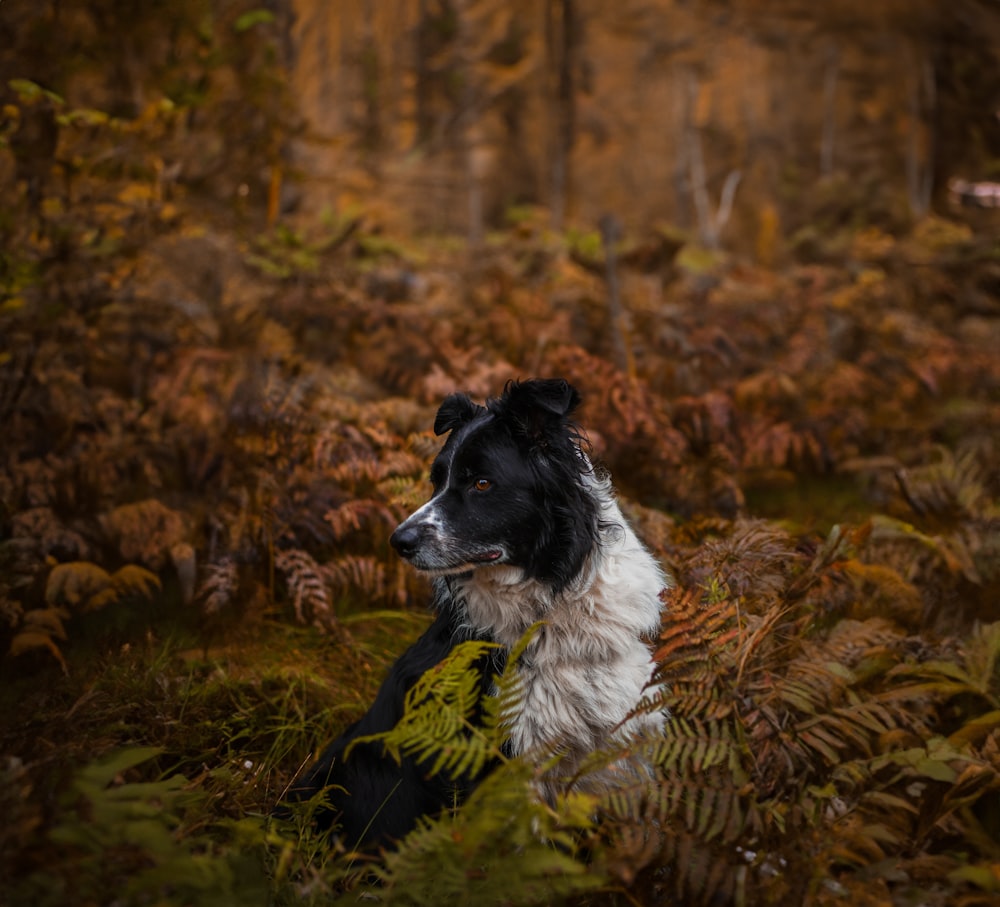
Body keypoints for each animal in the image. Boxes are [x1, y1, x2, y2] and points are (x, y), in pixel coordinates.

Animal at [282, 382, 668, 852]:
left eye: (481, 483)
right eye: (436, 480)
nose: (398, 541)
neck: (550, 605)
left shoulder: (625, 742)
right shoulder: (509, 760)